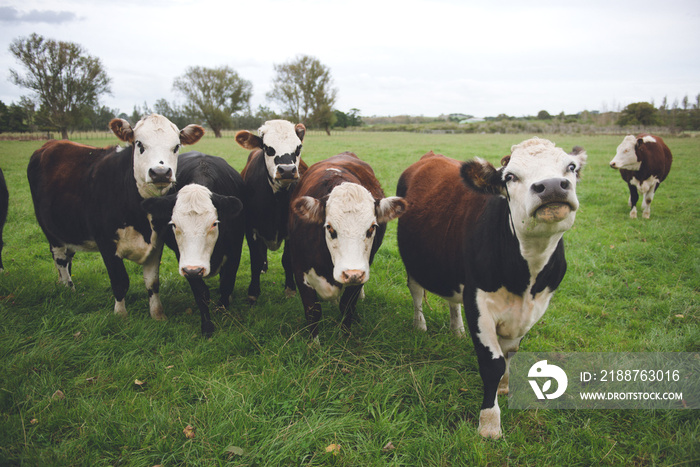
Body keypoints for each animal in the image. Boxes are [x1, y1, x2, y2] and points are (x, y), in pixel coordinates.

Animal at [26, 116, 204, 322]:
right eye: (139, 143)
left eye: (176, 146)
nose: (160, 172)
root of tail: (51, 144)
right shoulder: (106, 242)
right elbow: (120, 280)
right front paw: (120, 315)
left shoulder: (156, 242)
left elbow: (152, 282)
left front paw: (157, 315)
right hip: (50, 228)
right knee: (60, 258)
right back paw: (67, 289)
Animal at [141, 152, 245, 338]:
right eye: (174, 224)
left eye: (214, 224)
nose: (194, 270)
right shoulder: (185, 261)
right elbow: (201, 292)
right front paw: (207, 327)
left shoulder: (235, 251)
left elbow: (227, 283)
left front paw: (223, 309)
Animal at [235, 119, 306, 304]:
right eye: (268, 148)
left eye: (298, 148)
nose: (287, 170)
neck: (276, 200)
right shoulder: (251, 230)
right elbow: (256, 260)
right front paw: (253, 291)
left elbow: (287, 260)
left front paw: (290, 289)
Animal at [288, 153, 408, 340]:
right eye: (330, 228)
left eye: (371, 228)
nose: (352, 273)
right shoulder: (299, 270)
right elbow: (313, 311)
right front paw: (313, 344)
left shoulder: (361, 272)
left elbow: (347, 307)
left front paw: (345, 338)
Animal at [396, 138, 588, 438]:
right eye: (510, 177)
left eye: (570, 167)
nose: (552, 186)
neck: (526, 276)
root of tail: (430, 156)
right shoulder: (479, 304)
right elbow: (493, 363)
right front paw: (489, 423)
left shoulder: (532, 309)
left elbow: (510, 354)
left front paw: (504, 388)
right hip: (414, 263)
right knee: (416, 293)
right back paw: (420, 325)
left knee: (453, 301)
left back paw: (457, 329)